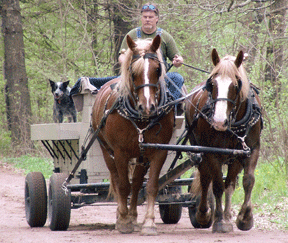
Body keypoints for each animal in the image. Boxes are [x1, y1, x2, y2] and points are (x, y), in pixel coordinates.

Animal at [91, 35, 174, 234]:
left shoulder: (158, 152)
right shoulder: (120, 153)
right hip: (106, 150)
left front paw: (149, 222)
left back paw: (134, 216)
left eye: (158, 69)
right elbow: (122, 186)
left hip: (141, 156)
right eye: (133, 72)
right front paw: (123, 220)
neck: (141, 119)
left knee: (136, 183)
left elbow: (150, 186)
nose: (147, 106)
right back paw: (122, 215)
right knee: (116, 179)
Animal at [186, 48, 262, 233]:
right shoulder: (212, 152)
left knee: (230, 183)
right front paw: (219, 221)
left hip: (234, 158)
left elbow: (247, 181)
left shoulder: (251, 149)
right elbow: (217, 185)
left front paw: (244, 218)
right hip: (200, 149)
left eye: (235, 85)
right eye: (212, 84)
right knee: (206, 179)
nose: (219, 122)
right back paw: (204, 213)